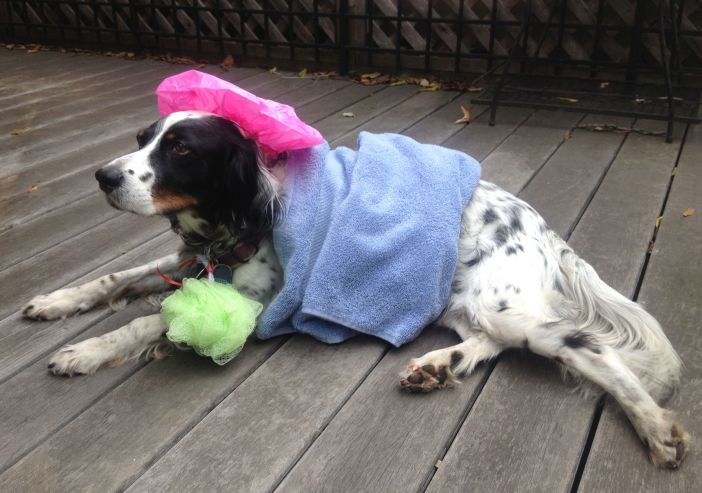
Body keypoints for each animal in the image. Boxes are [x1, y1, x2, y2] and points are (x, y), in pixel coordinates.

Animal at [23, 109, 692, 468]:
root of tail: (541, 226)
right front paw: (58, 302)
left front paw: (87, 350)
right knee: (490, 341)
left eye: (181, 148)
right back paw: (438, 366)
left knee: (588, 348)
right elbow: (118, 278)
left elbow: (151, 318)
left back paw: (657, 430)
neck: (247, 210)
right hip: (465, 301)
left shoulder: (256, 301)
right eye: (143, 139)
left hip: (504, 306)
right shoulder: (195, 261)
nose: (103, 176)